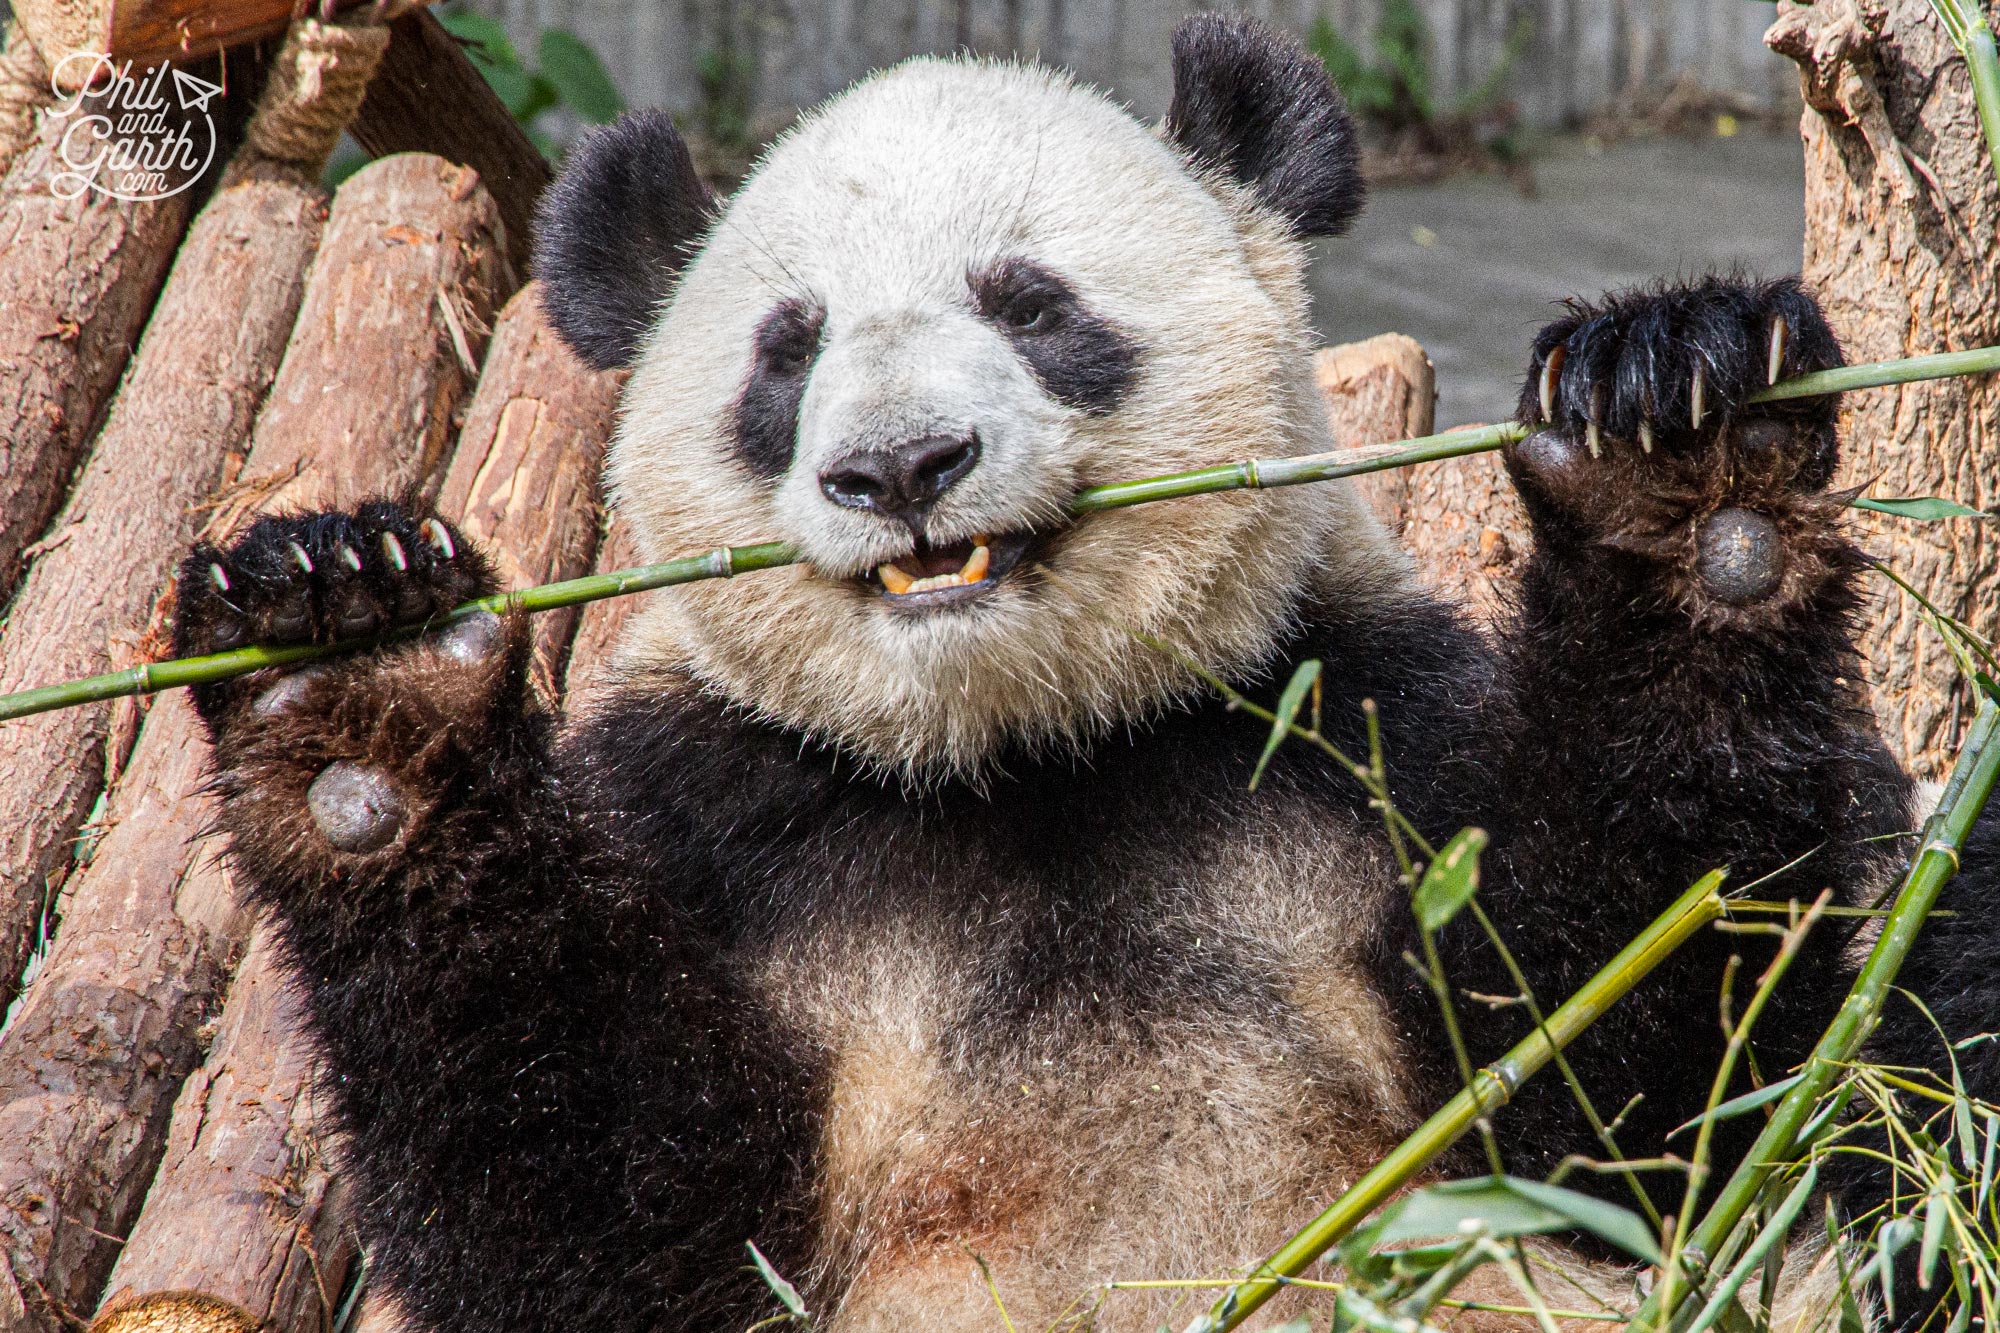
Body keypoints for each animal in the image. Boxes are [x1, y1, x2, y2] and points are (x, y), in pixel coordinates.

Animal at [168, 13, 2000, 1328]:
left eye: (1032, 303)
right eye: (786, 353)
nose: (902, 466)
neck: (1024, 750)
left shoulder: (1365, 733)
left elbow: (1641, 1104)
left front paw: (1678, 455)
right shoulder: (723, 813)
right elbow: (603, 1225)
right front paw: (354, 686)